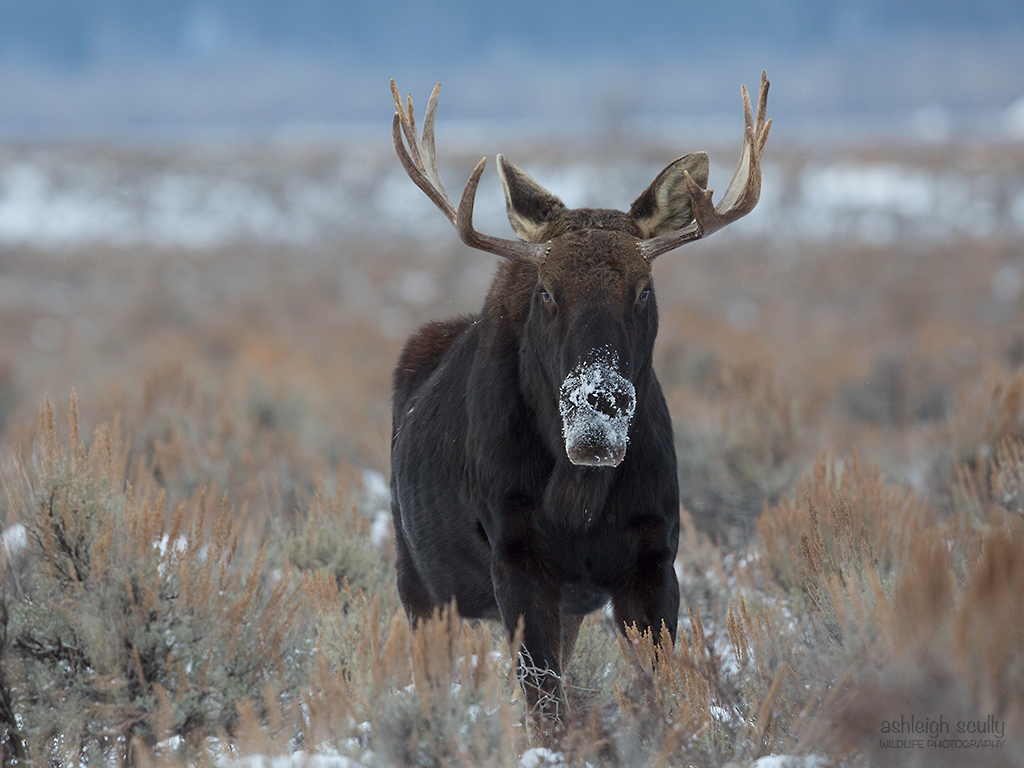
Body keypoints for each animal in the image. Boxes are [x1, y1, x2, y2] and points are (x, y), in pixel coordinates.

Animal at [388, 73, 771, 738]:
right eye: (546, 292)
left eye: (644, 289)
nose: (599, 410)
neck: (579, 502)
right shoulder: (515, 557)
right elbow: (545, 706)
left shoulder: (654, 558)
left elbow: (657, 690)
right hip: (419, 583)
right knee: (434, 678)